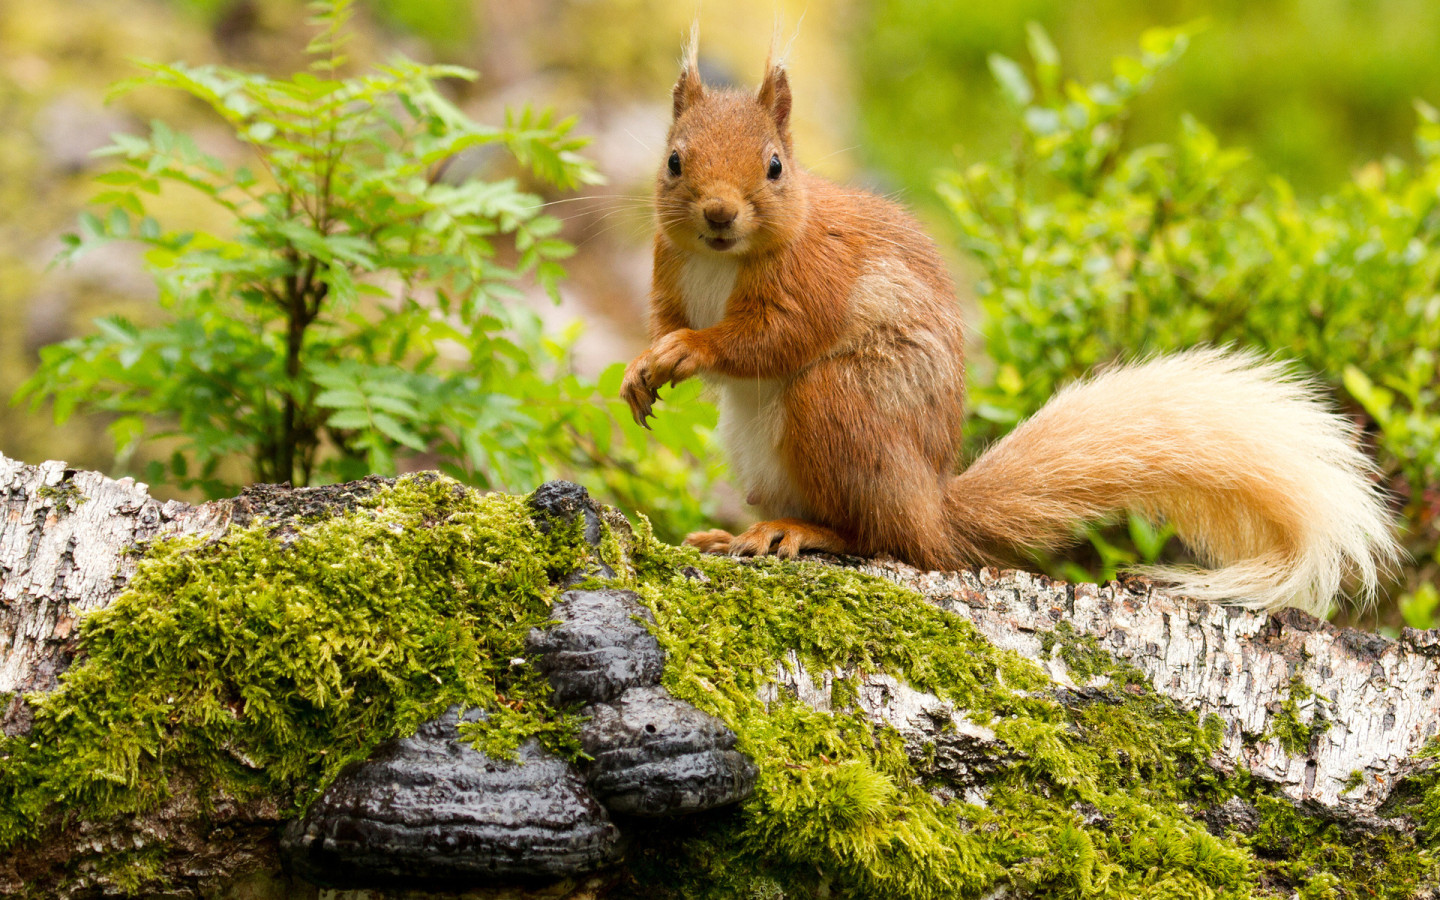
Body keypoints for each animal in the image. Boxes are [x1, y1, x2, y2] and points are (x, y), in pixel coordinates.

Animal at [616, 35, 1393, 610]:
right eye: (674, 160)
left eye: (775, 167)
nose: (720, 214)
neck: (722, 259)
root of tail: (931, 504)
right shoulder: (667, 270)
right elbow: (663, 321)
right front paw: (641, 367)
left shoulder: (815, 281)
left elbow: (770, 338)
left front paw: (689, 351)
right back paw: (730, 536)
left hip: (838, 408)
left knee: (882, 541)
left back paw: (799, 533)